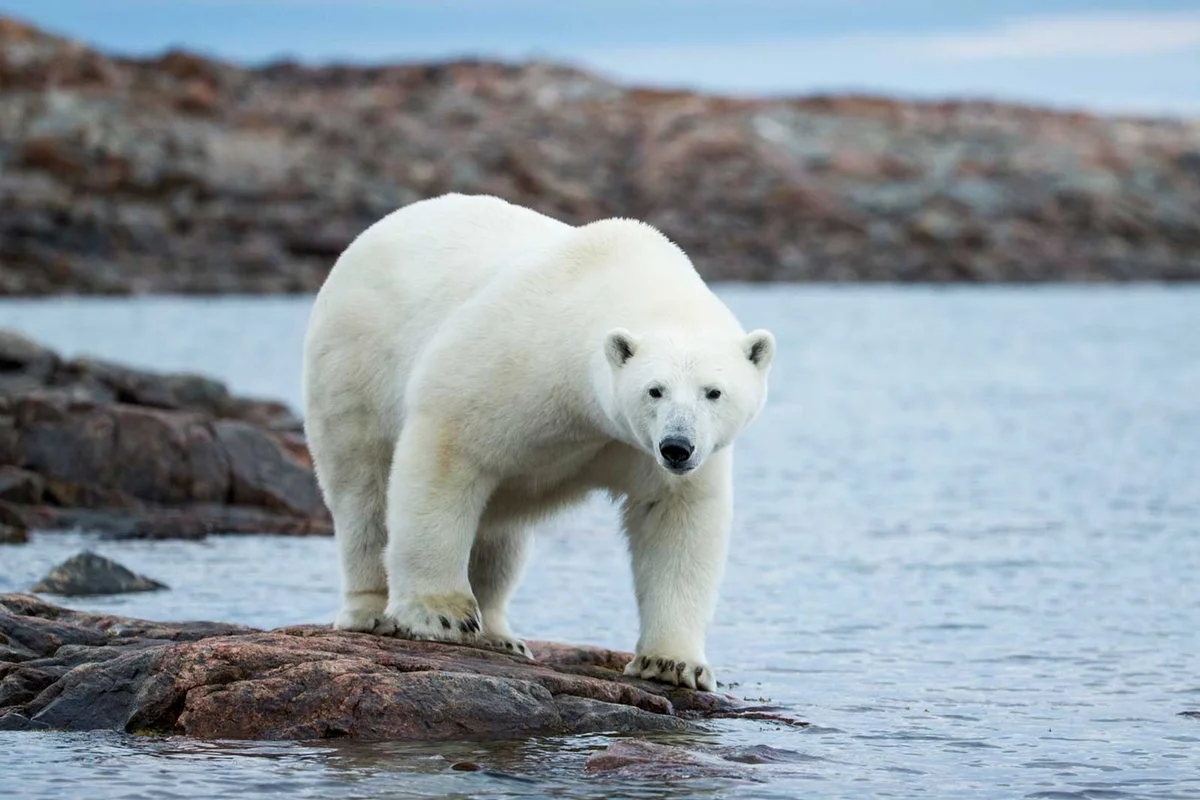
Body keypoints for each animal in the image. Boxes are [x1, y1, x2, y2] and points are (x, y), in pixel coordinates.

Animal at [301, 193, 775, 691]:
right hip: (354, 362)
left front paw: (673, 663)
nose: (677, 447)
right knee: (363, 491)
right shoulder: (513, 359)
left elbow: (675, 515)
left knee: (500, 536)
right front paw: (441, 615)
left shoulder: (638, 447)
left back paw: (499, 635)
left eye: (713, 392)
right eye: (655, 390)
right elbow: (447, 456)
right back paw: (371, 611)